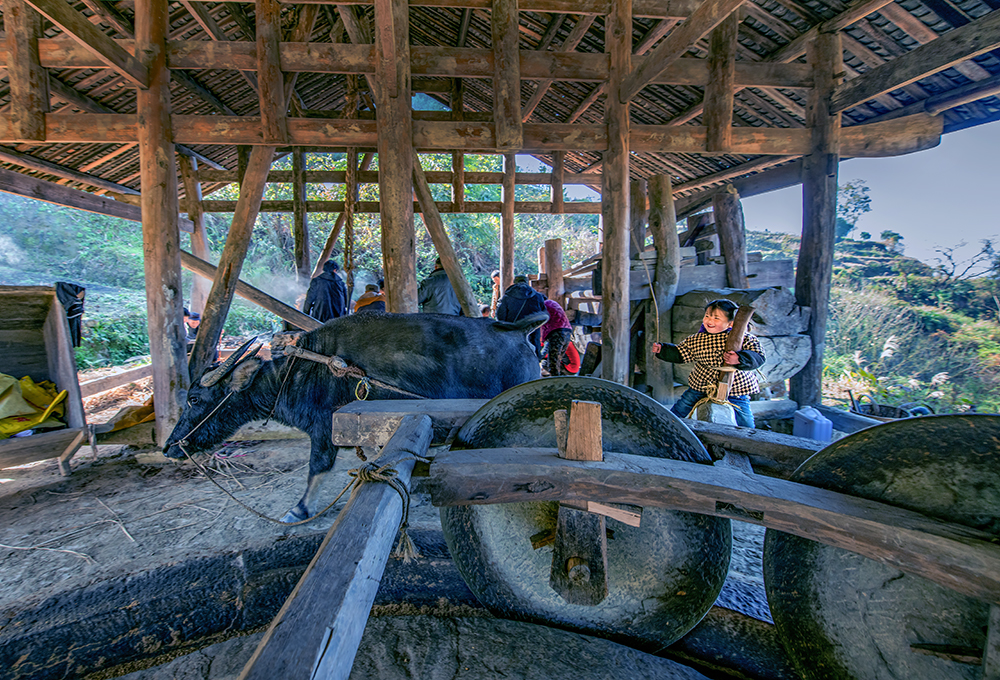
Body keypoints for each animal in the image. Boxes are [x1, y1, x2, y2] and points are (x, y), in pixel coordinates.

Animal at [163, 310, 548, 524]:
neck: (302, 371)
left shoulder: (323, 431)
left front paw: (299, 511)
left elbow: (317, 469)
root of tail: (515, 329)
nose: (169, 447)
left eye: (194, 398)